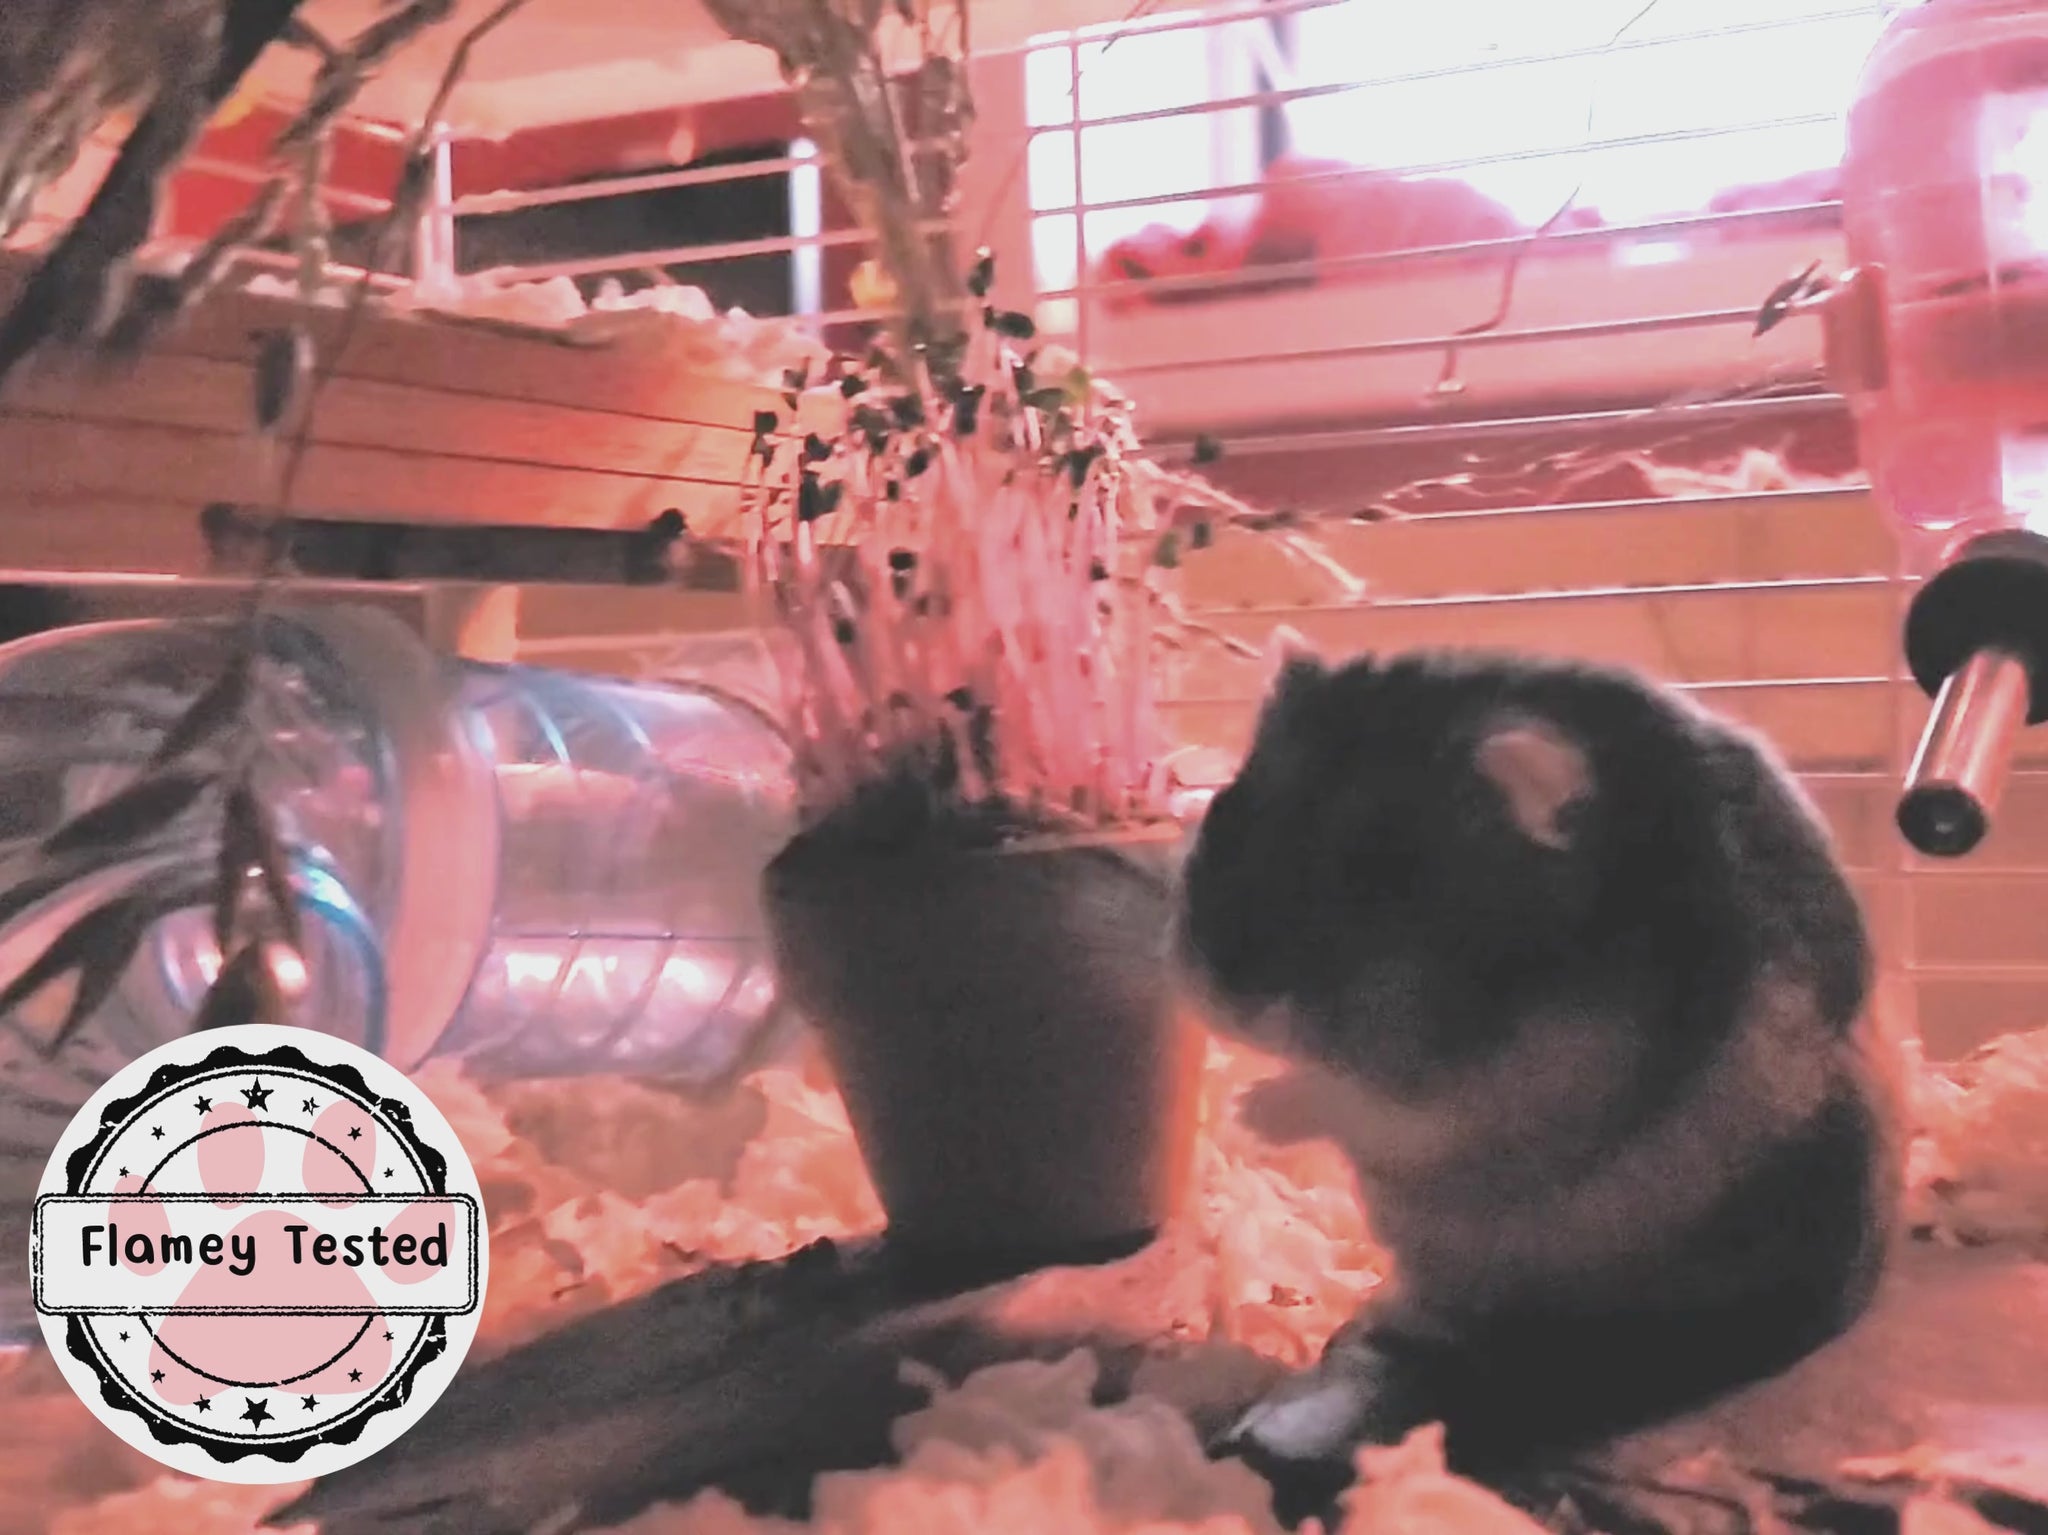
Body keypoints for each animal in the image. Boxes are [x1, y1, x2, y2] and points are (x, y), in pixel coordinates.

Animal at [1179, 642, 1908, 1522]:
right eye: (1225, 806)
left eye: (1382, 869)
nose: (1224, 995)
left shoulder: (1508, 1092)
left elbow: (1366, 1105)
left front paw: (1252, 1112)